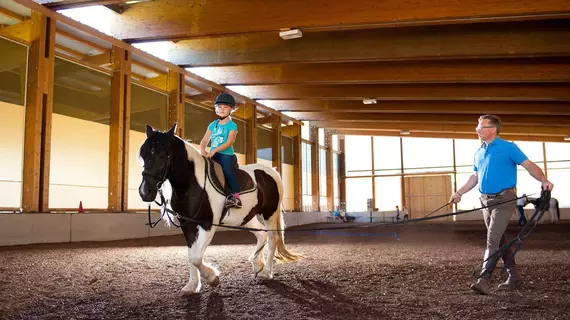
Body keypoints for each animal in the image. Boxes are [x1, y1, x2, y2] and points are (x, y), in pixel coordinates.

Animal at [137, 124, 300, 294]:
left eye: (162, 155)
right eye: (143, 155)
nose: (145, 191)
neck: (193, 185)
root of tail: (272, 172)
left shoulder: (207, 224)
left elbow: (196, 257)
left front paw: (212, 277)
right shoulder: (187, 224)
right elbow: (191, 254)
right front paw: (192, 285)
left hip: (270, 213)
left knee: (273, 238)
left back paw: (266, 272)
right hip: (245, 218)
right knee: (261, 234)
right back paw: (257, 264)